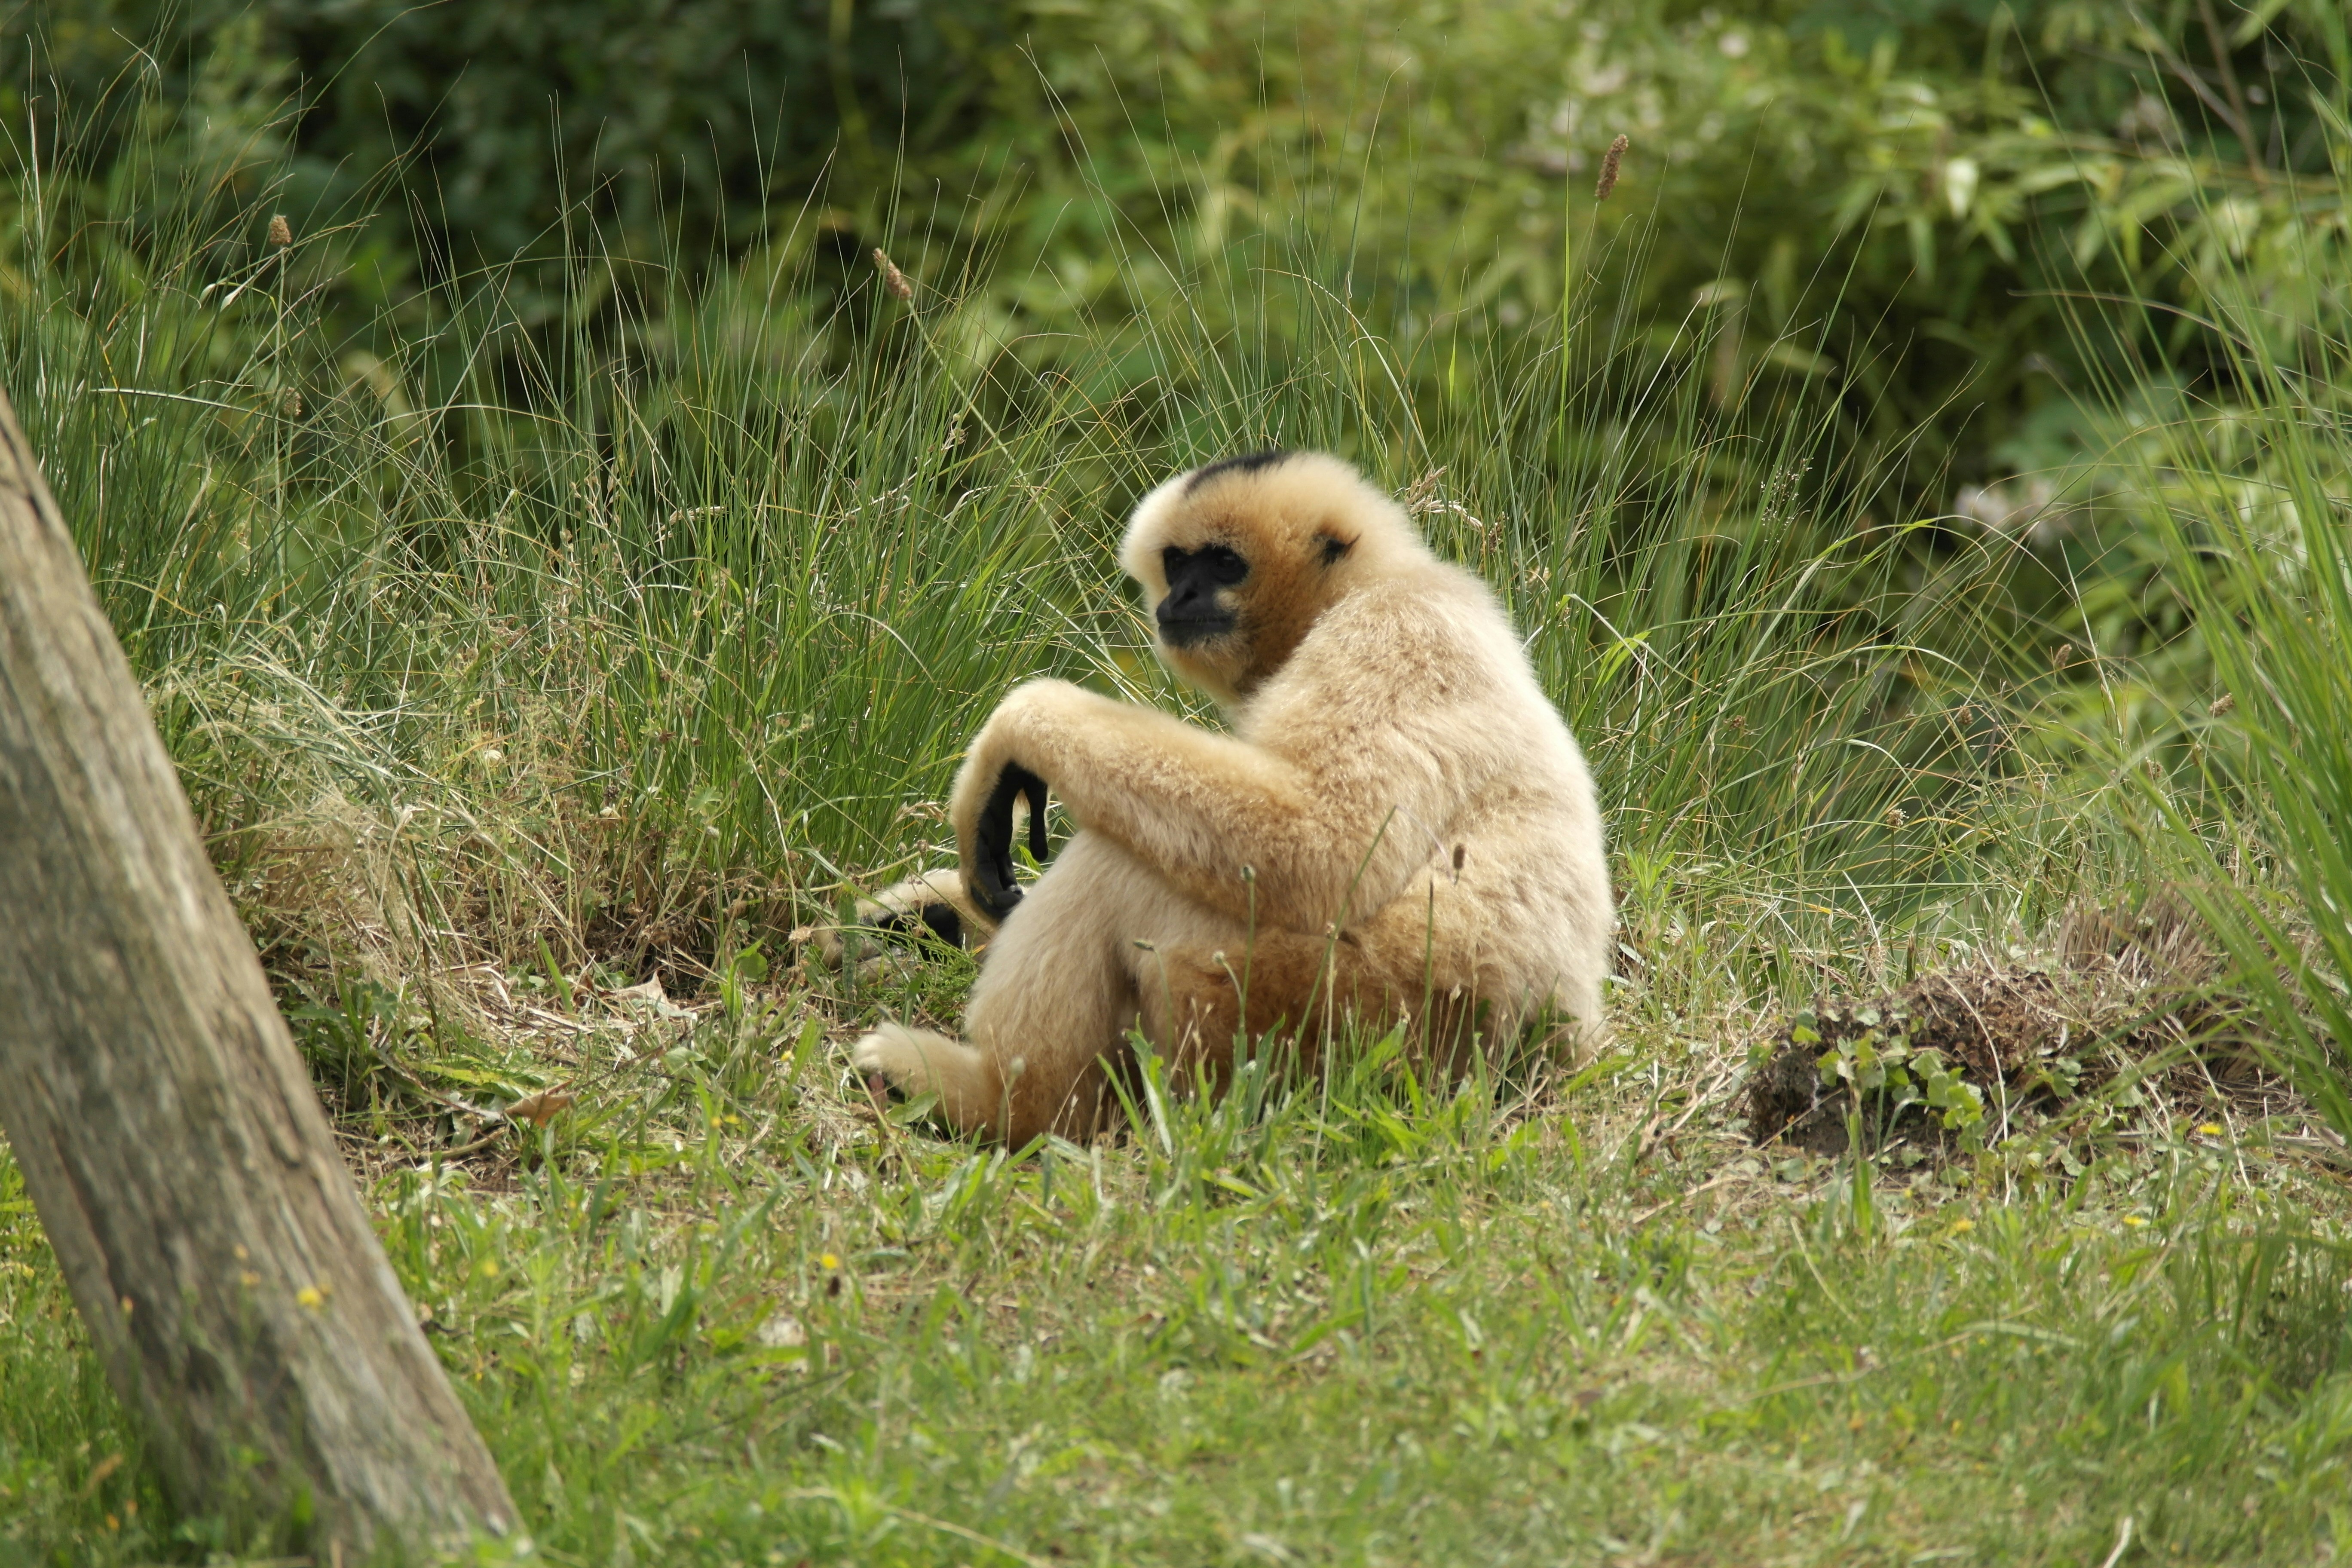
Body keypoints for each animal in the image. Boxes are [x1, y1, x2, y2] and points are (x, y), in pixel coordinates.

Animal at [851, 450, 1613, 1145]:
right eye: (1178, 561)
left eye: (1223, 564)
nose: (1181, 597)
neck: (1357, 591)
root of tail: (1554, 1052)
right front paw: (925, 917)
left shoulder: (1395, 631)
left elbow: (1318, 846)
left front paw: (1016, 732)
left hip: (1339, 1018)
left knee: (1121, 867)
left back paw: (998, 1103)